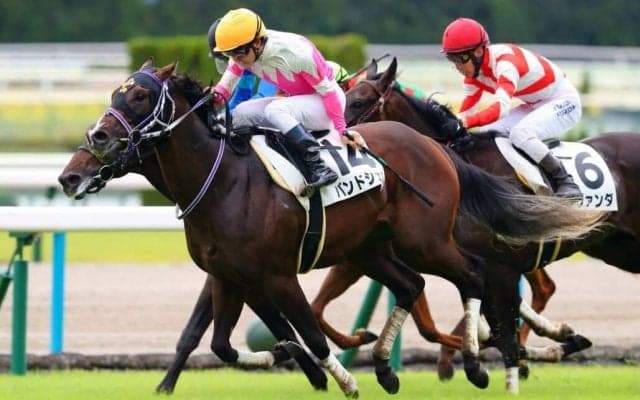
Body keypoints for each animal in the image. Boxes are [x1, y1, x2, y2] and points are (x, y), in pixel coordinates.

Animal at [61, 58, 601, 394]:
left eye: (138, 96)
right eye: (116, 94)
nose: (80, 162)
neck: (223, 181)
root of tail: (437, 148)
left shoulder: (277, 276)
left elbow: (309, 334)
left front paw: (341, 380)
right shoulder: (229, 275)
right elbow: (217, 342)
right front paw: (275, 362)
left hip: (424, 240)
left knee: (473, 277)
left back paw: (477, 362)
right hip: (371, 250)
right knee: (414, 286)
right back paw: (389, 365)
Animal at [343, 56, 640, 380]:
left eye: (358, 102)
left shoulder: (502, 266)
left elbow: (504, 332)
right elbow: (499, 332)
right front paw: (560, 340)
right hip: (619, 250)